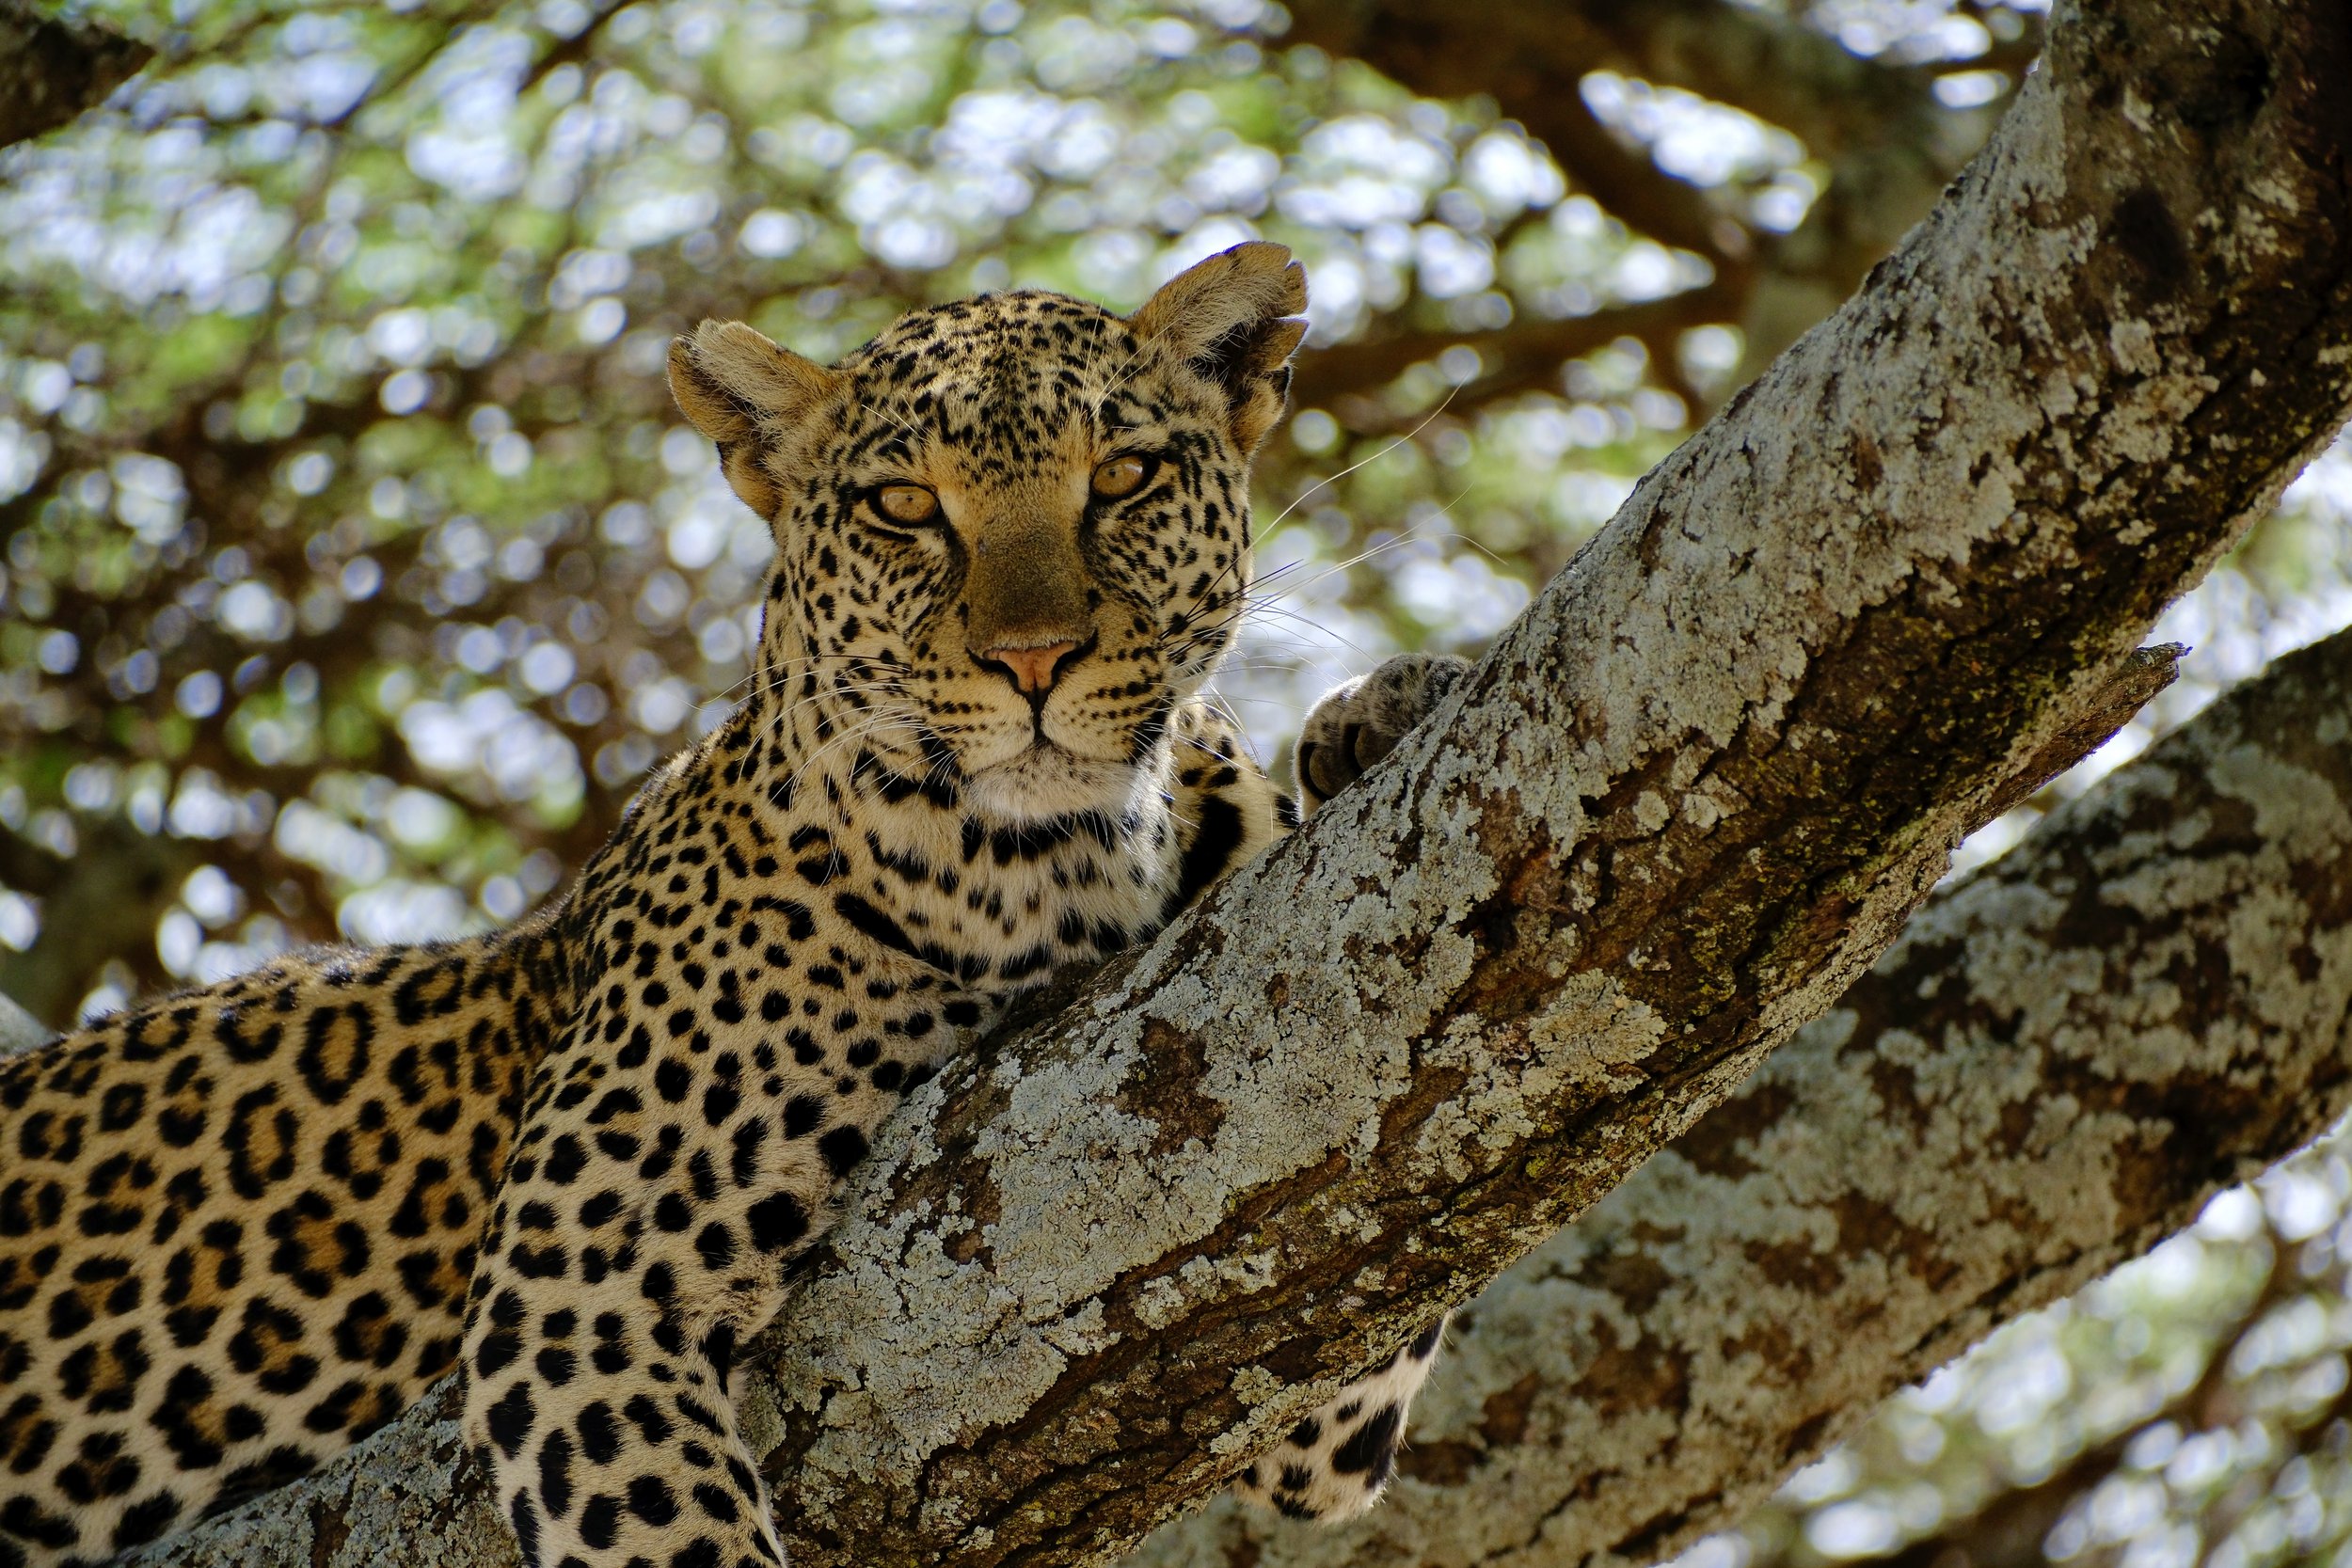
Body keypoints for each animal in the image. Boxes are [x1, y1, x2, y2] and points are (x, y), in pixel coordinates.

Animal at [0, 241, 1471, 1568]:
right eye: (903, 504)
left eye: (1123, 477)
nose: (1034, 658)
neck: (1058, 862)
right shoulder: (579, 1279)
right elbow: (672, 1531)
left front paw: (1386, 708)